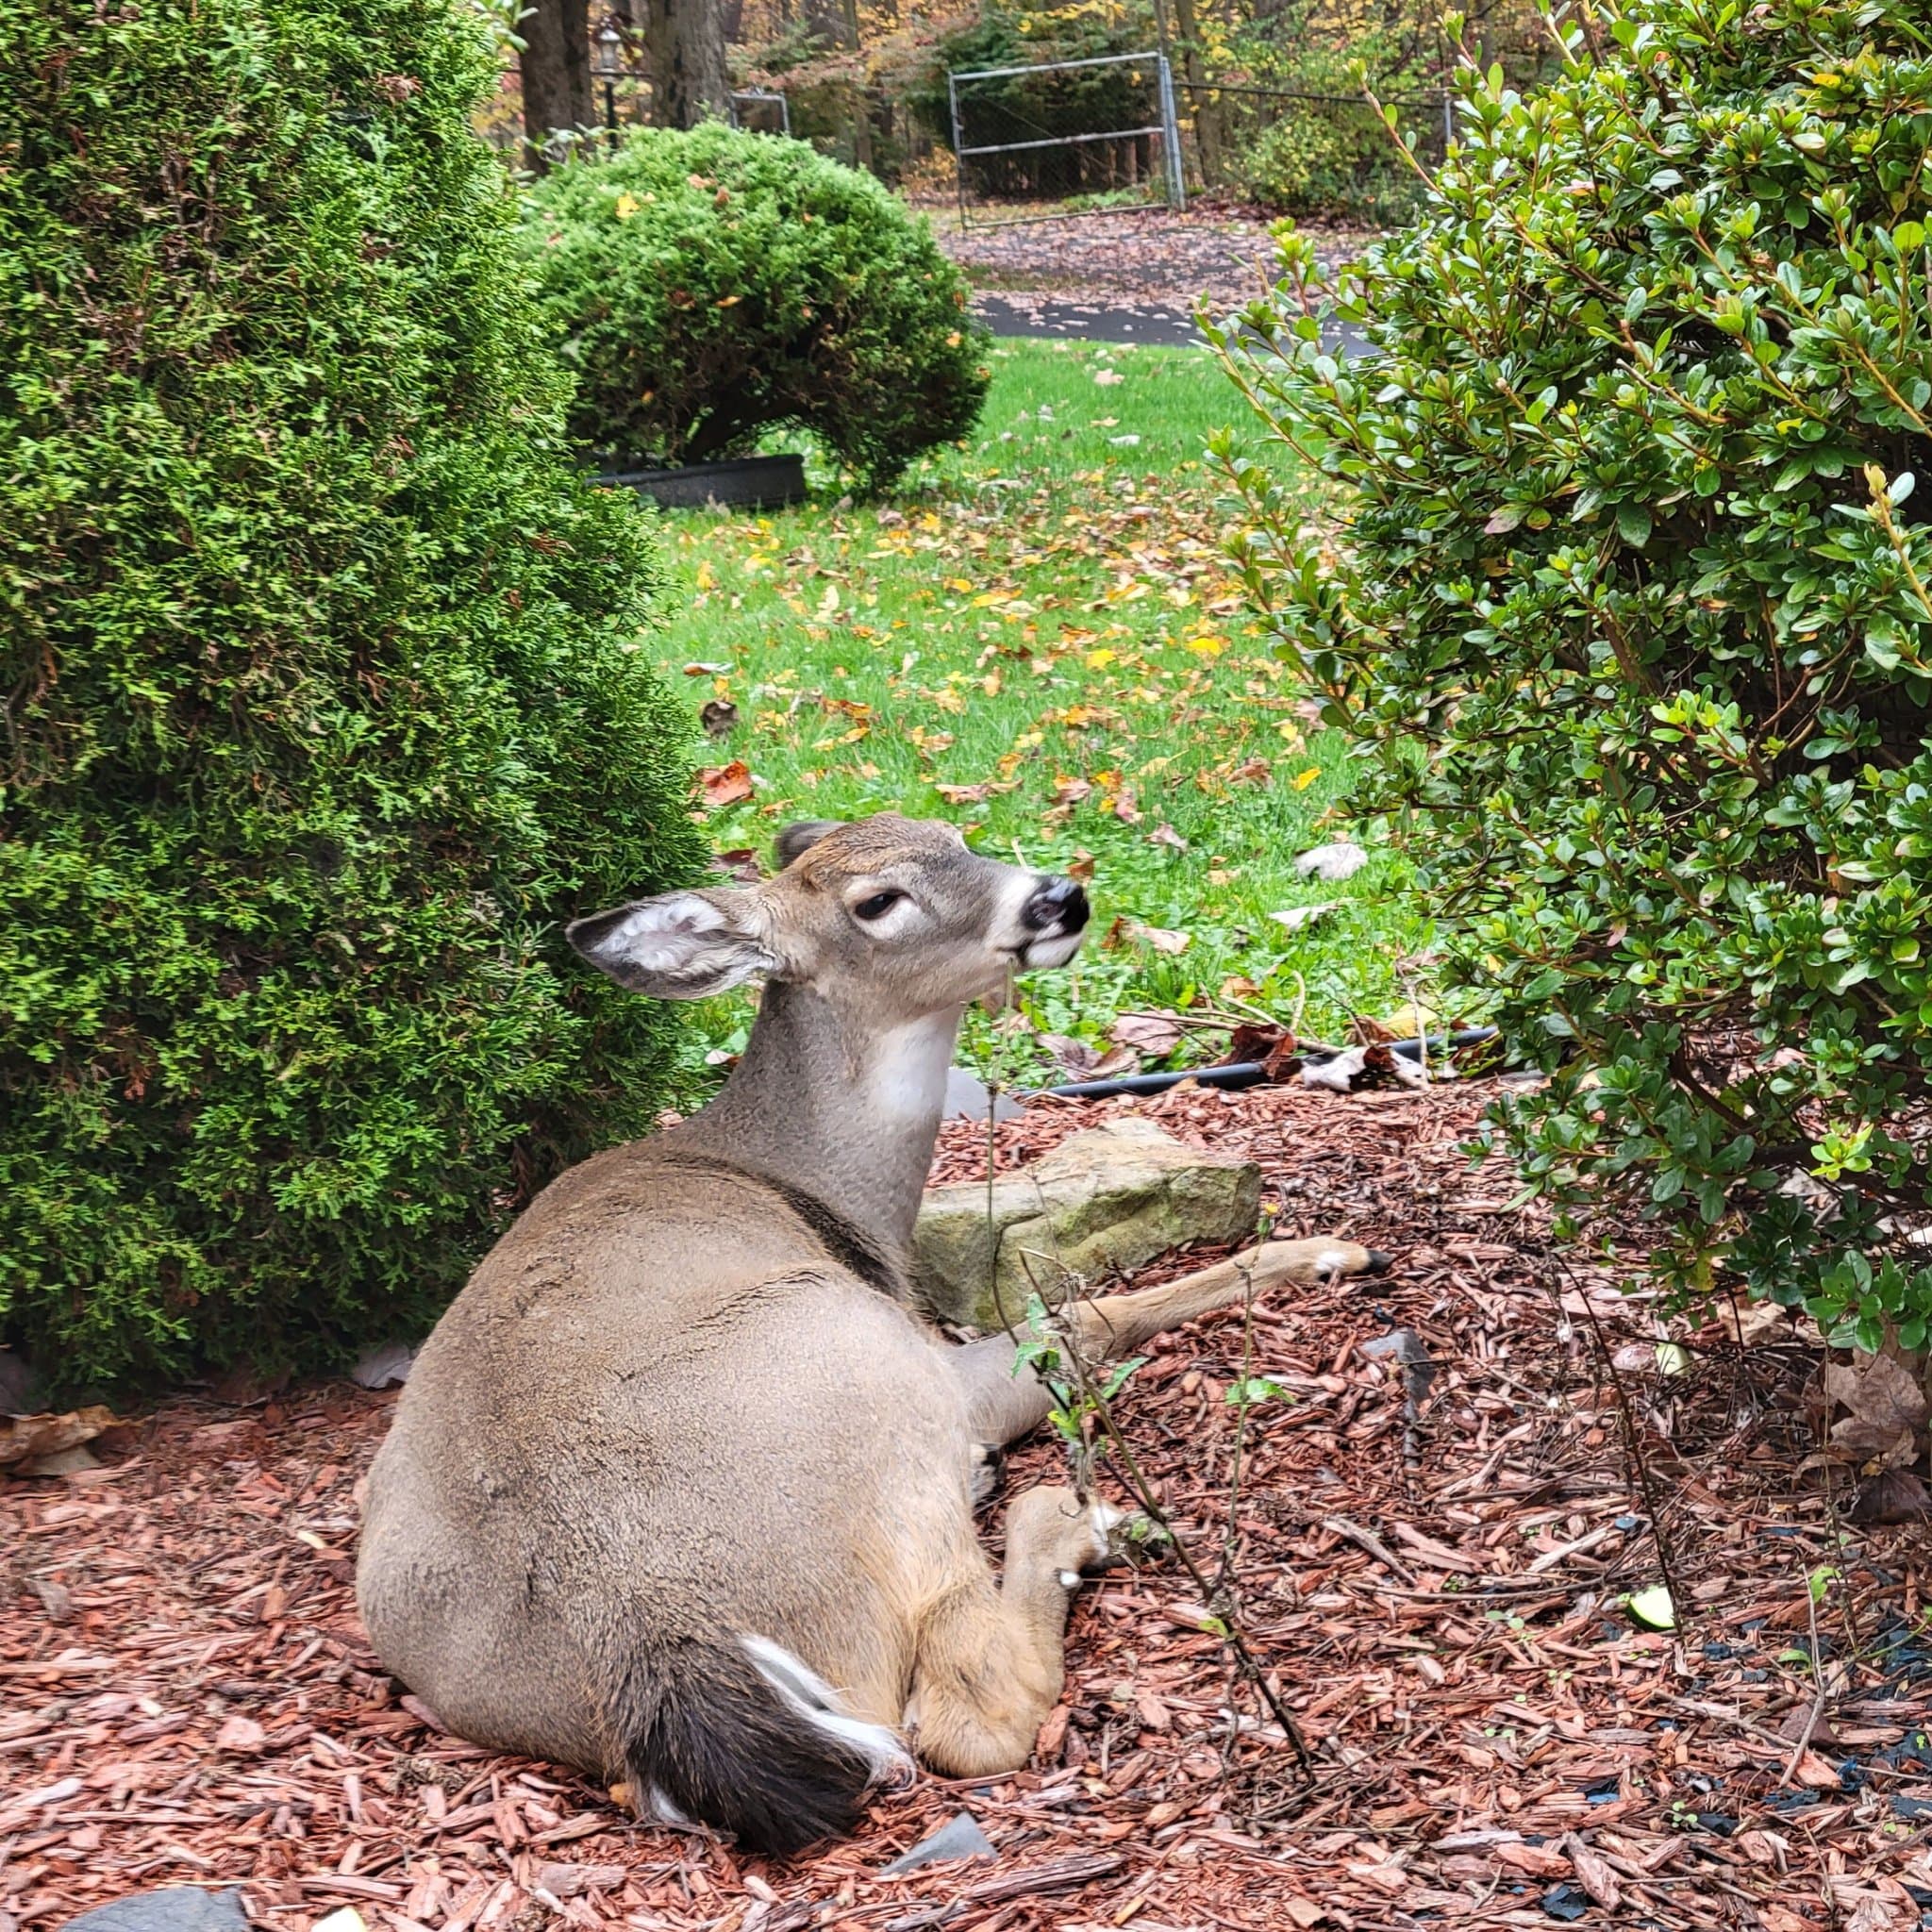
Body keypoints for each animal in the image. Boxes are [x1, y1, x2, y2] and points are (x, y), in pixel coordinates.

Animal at [356, 814, 1386, 1855]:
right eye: (876, 901)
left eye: (956, 836)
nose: (1059, 898)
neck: (808, 1178)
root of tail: (648, 1640)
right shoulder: (946, 1362)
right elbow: (1085, 1315)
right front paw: (1326, 1247)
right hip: (874, 1383)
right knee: (968, 1707)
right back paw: (1063, 1513)